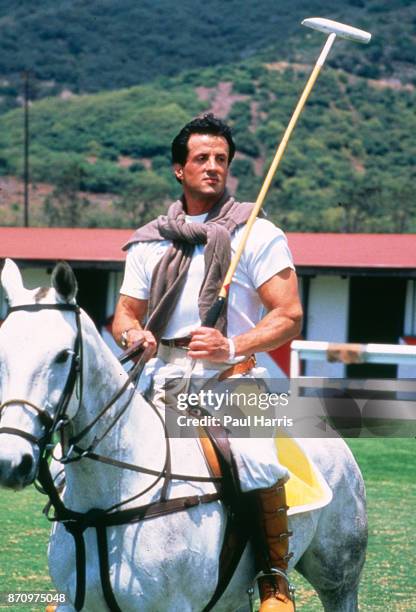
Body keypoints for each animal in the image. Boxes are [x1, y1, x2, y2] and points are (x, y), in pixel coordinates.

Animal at [0, 260, 366, 612]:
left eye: (63, 356)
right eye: (2, 354)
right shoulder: (75, 604)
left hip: (339, 577)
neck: (109, 500)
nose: (11, 463)